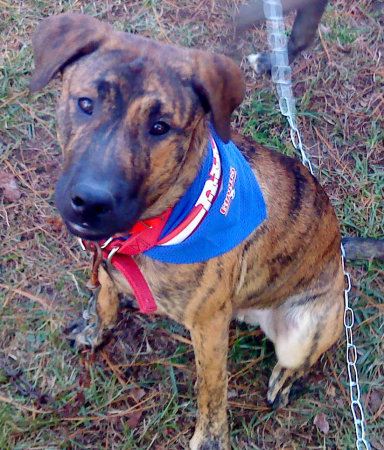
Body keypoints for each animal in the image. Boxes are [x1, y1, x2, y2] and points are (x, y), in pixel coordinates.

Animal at [29, 14, 342, 450]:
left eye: (160, 127)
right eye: (85, 104)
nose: (90, 202)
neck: (154, 227)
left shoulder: (208, 327)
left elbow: (211, 389)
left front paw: (210, 440)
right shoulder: (108, 265)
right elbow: (106, 299)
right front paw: (95, 329)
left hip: (304, 331)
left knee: (300, 359)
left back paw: (285, 378)